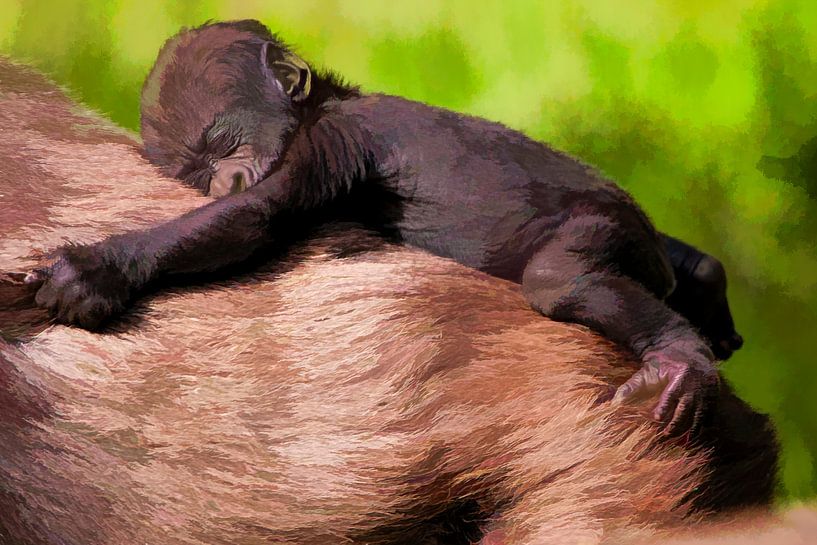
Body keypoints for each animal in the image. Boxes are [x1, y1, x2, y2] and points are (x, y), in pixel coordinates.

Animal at [29, 20, 745, 436]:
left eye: (223, 144)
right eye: (194, 171)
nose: (222, 179)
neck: (326, 103)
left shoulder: (333, 141)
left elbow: (257, 217)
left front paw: (99, 270)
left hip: (609, 225)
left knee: (559, 275)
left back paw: (678, 355)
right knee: (676, 268)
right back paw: (708, 297)